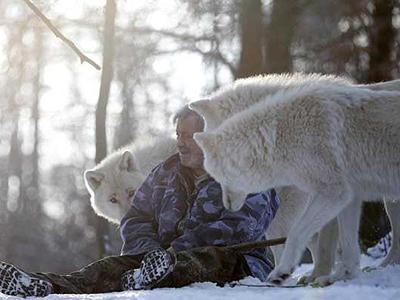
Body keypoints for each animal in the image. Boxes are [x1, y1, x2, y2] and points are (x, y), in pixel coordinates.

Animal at [189, 73, 400, 284]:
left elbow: (300, 236)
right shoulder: (344, 196)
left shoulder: (322, 194)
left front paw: (293, 271)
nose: (227, 205)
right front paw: (322, 275)